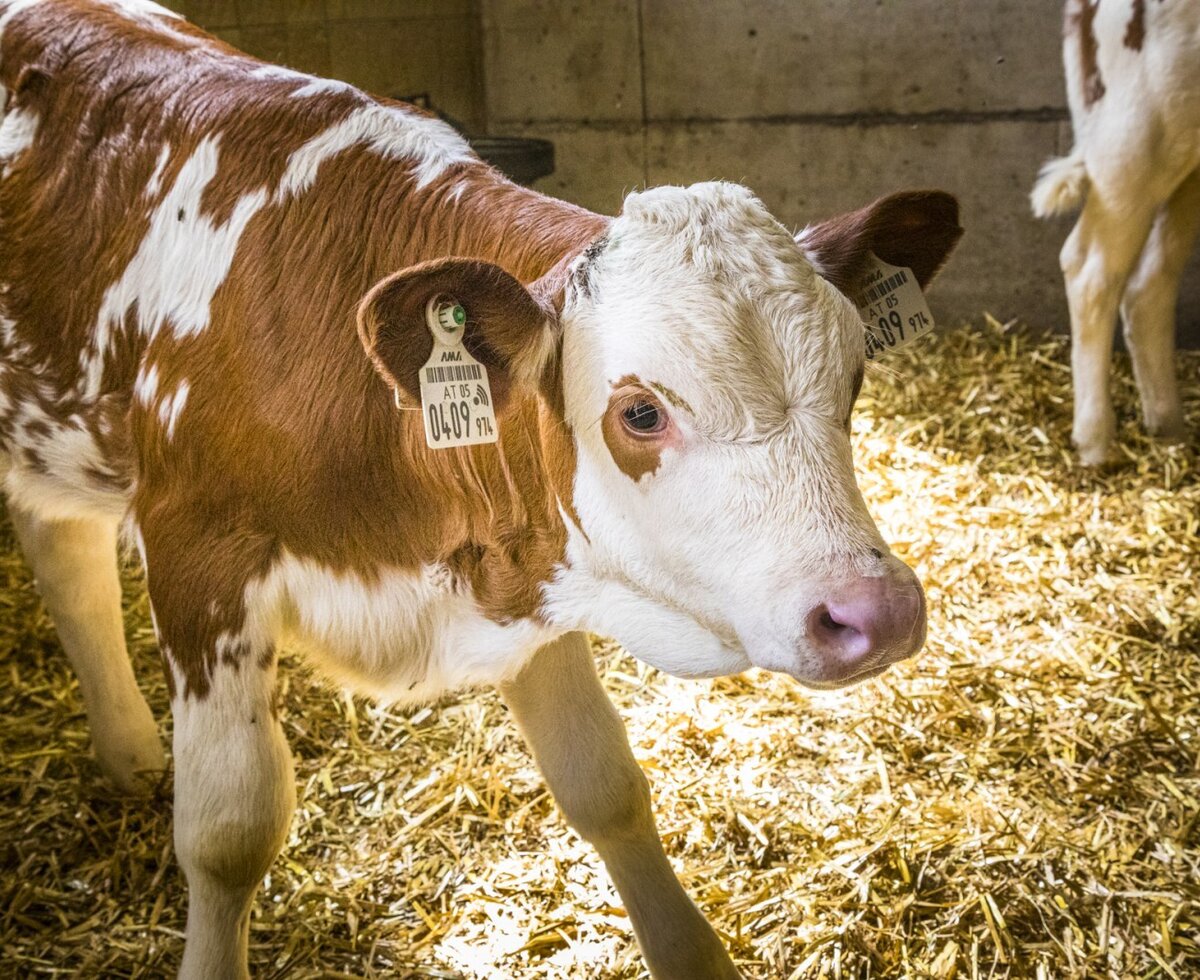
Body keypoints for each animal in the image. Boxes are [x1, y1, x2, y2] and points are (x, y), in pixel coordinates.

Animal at [0, 1, 961, 976]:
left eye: (853, 377)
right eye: (641, 413)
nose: (875, 610)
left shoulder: (524, 556)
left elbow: (604, 783)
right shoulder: (197, 556)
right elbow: (230, 831)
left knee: (63, 554)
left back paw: (129, 753)